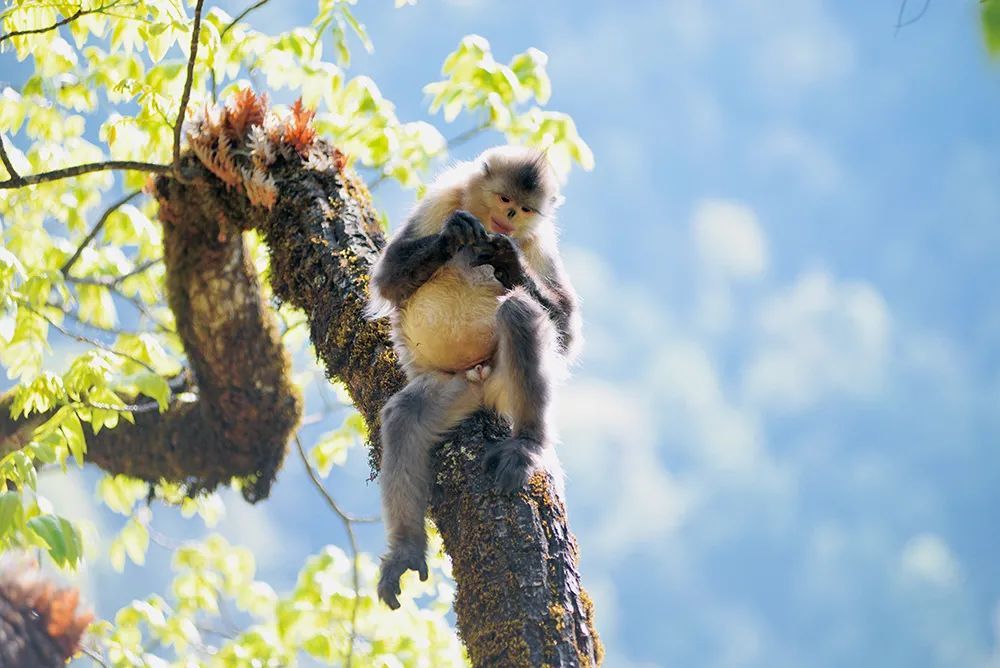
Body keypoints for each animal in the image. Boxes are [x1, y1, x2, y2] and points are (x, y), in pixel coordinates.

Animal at [368, 146, 584, 612]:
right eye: (505, 199)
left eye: (525, 209)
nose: (510, 218)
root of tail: (482, 380)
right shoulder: (442, 197)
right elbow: (389, 279)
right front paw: (453, 236)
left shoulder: (539, 241)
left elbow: (566, 332)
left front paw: (507, 260)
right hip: (456, 386)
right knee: (404, 419)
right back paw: (406, 549)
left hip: (504, 379)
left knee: (520, 310)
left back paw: (527, 444)